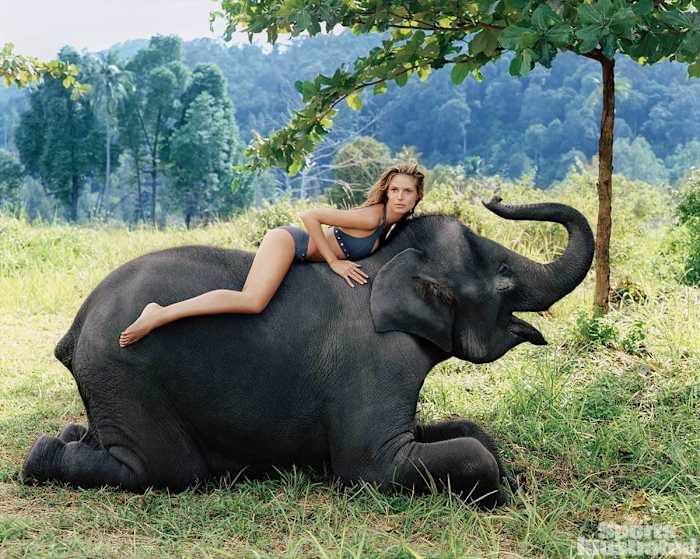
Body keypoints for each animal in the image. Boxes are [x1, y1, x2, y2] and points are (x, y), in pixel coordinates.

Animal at [22, 196, 594, 509]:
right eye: (504, 277)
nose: (494, 198)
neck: (387, 261)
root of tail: (77, 327)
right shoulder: (375, 362)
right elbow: (372, 467)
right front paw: (499, 495)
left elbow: (469, 430)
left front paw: (513, 481)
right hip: (127, 374)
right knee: (165, 471)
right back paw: (41, 455)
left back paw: (67, 436)